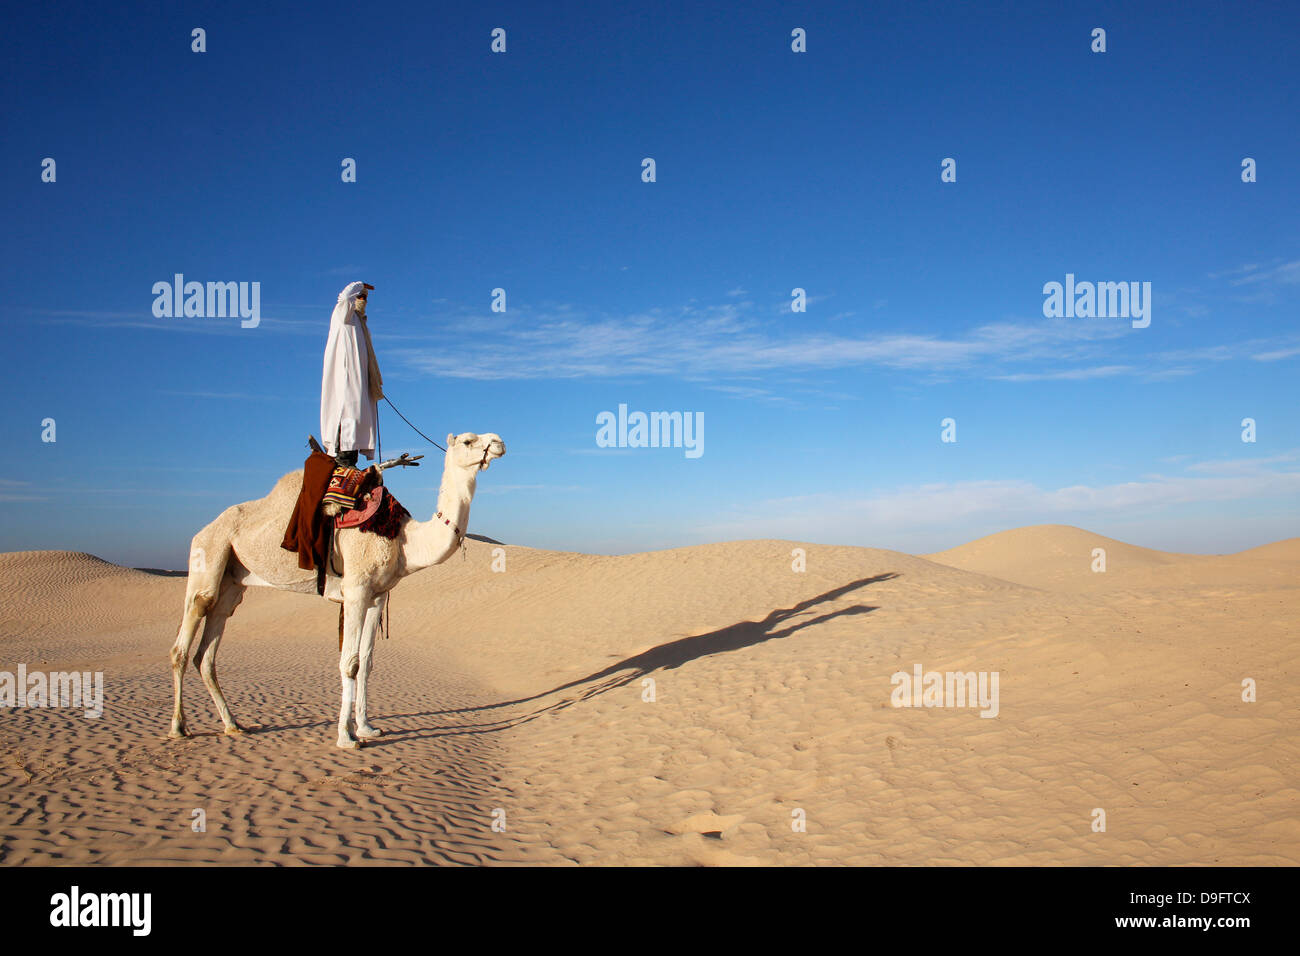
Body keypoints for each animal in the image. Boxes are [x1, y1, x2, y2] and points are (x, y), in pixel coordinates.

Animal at [163, 429, 506, 749]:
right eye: (468, 440)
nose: (499, 442)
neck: (403, 539)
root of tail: (202, 530)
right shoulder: (355, 590)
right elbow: (349, 663)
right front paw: (346, 737)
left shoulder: (377, 596)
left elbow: (367, 663)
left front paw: (367, 727)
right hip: (208, 556)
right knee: (186, 637)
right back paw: (179, 727)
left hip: (233, 581)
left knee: (208, 650)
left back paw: (232, 724)